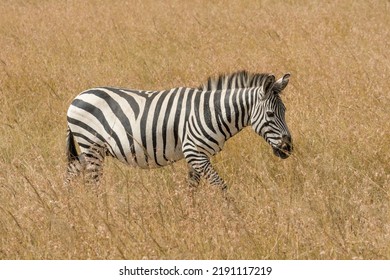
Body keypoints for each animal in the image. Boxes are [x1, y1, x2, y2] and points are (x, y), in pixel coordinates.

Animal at [65, 71, 292, 191]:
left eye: (285, 111)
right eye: (270, 114)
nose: (288, 148)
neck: (211, 113)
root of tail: (77, 97)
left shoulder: (196, 156)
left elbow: (192, 188)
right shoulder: (194, 152)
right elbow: (220, 185)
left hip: (92, 149)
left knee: (72, 170)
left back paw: (67, 205)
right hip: (92, 146)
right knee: (93, 184)